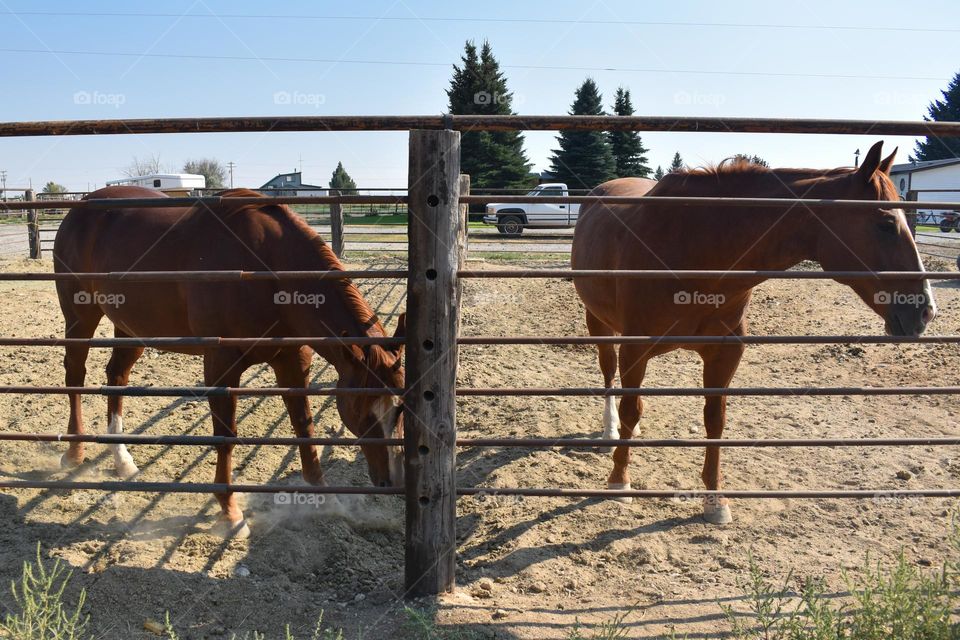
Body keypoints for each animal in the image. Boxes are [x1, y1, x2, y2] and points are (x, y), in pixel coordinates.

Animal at [53, 187, 405, 538]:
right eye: (362, 412)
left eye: (401, 408)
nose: (390, 480)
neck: (270, 270)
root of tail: (81, 208)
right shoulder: (221, 365)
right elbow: (226, 436)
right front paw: (231, 514)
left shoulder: (292, 361)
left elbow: (304, 426)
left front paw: (326, 499)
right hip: (80, 318)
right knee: (75, 375)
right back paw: (74, 452)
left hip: (130, 329)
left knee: (116, 376)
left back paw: (122, 459)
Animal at [571, 141, 936, 525]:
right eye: (885, 223)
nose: (925, 310)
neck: (694, 247)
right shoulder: (635, 347)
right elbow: (630, 408)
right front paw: (619, 481)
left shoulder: (725, 353)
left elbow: (715, 420)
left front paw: (715, 499)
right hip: (599, 323)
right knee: (609, 375)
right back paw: (610, 430)